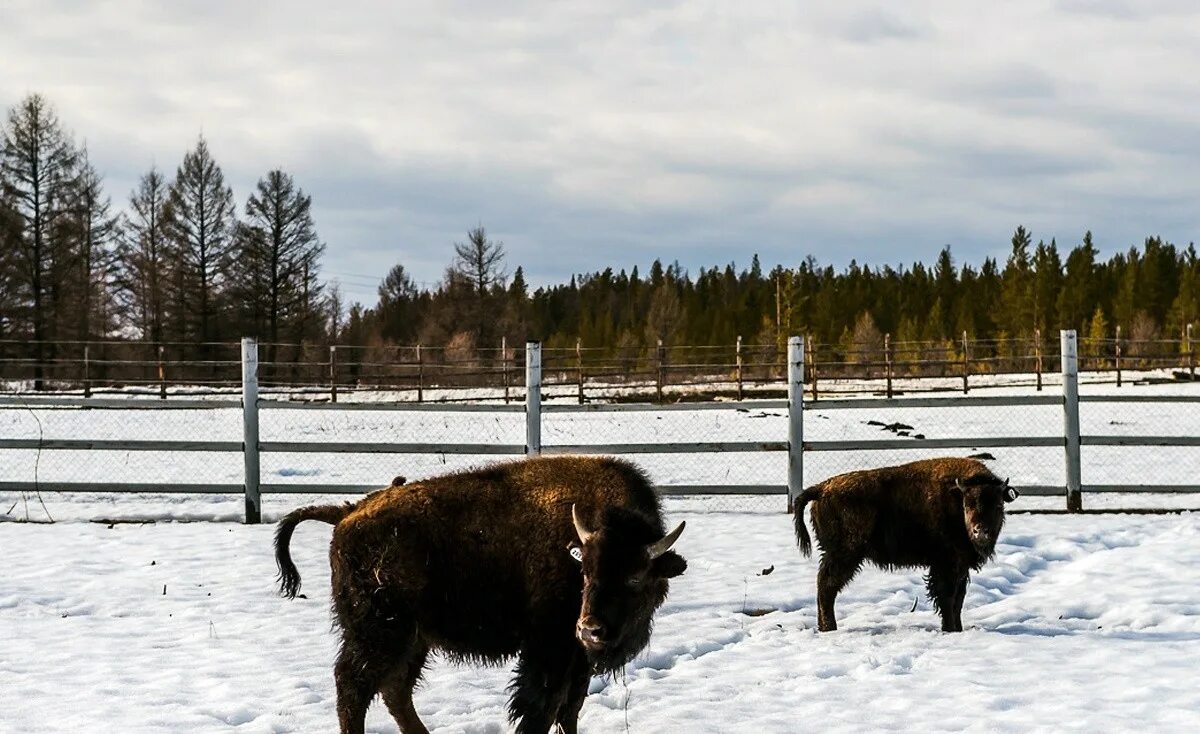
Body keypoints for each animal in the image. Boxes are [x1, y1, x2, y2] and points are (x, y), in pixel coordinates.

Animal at [273, 455, 686, 729]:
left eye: (635, 578)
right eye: (583, 570)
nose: (590, 629)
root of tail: (348, 512)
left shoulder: (578, 659)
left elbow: (570, 710)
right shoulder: (548, 649)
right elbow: (541, 707)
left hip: (413, 638)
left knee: (394, 690)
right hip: (378, 632)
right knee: (354, 688)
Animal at [792, 458, 1017, 628]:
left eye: (998, 505)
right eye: (967, 505)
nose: (980, 531)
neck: (956, 495)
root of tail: (822, 488)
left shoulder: (961, 567)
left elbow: (958, 600)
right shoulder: (945, 566)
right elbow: (947, 598)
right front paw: (950, 629)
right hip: (844, 555)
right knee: (826, 587)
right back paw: (830, 627)